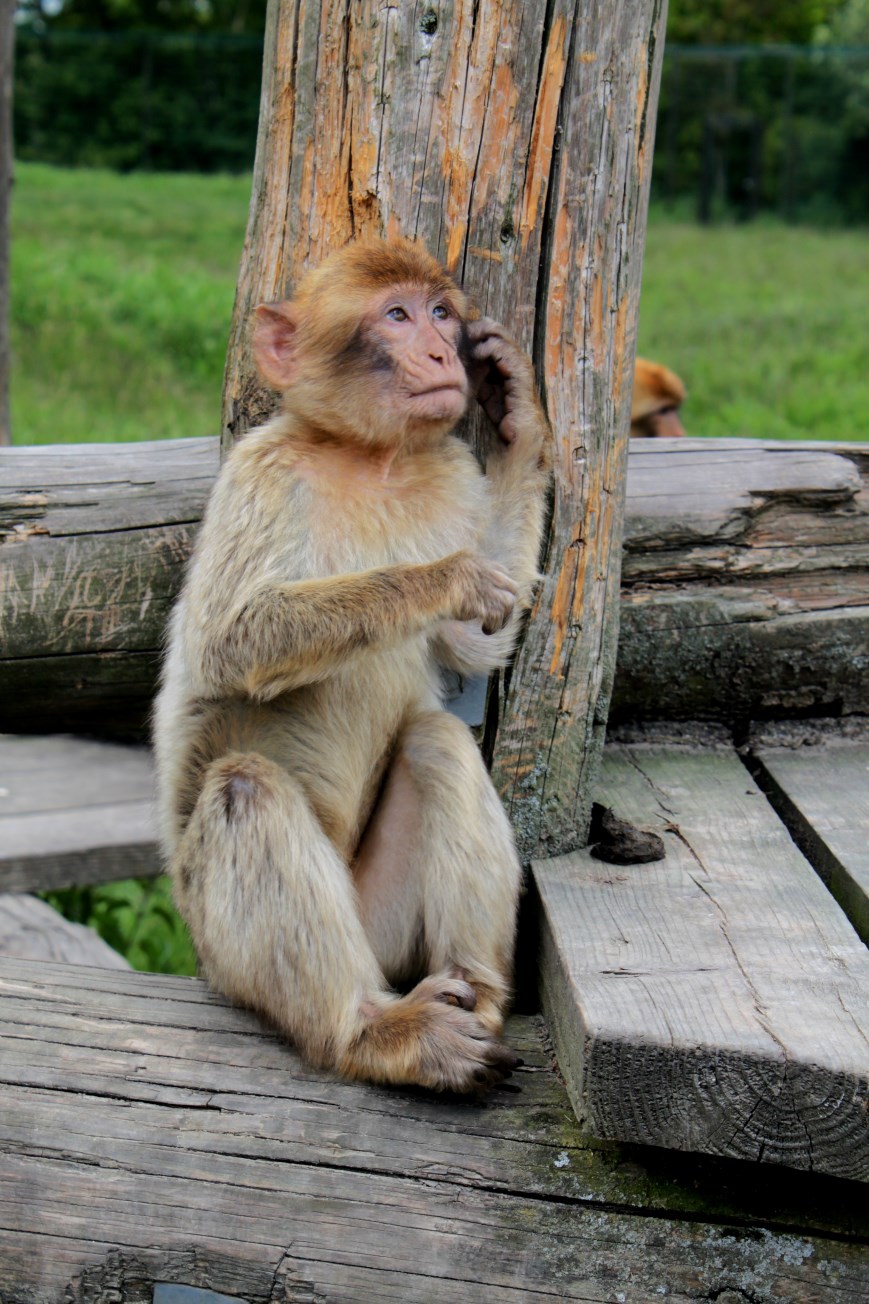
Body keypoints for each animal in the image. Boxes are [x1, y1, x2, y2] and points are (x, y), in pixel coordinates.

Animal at [152, 238, 551, 1093]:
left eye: (439, 313)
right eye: (395, 315)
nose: (440, 352)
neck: (371, 459)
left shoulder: (452, 477)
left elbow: (474, 646)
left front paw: (520, 425)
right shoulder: (258, 473)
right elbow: (231, 642)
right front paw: (445, 577)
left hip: (384, 926)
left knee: (437, 741)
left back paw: (479, 992)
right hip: (221, 947)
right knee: (244, 788)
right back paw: (371, 1034)